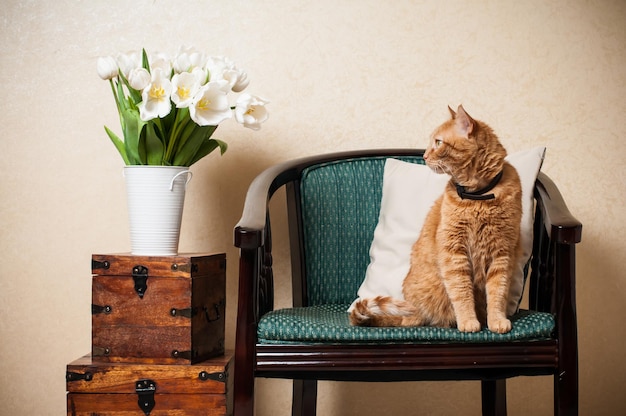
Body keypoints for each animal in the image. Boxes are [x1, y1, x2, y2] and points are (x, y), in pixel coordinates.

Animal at [352, 105, 520, 334]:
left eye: (438, 142)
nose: (423, 155)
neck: (478, 196)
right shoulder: (453, 252)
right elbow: (461, 292)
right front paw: (468, 321)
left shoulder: (502, 254)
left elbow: (498, 293)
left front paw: (496, 320)